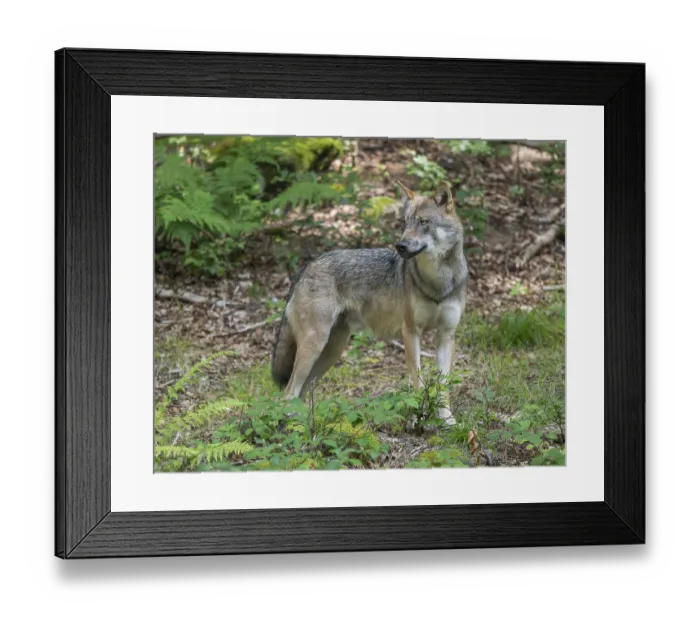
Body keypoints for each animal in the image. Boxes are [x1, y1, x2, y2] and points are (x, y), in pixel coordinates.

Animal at [271, 181, 468, 425]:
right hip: (314, 346)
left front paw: (447, 420)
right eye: (405, 223)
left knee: (301, 392)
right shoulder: (411, 332)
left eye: (423, 222)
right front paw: (417, 419)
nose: (400, 246)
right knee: (289, 392)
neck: (438, 282)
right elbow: (417, 381)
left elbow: (443, 385)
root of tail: (305, 267)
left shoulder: (446, 335)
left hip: (330, 352)